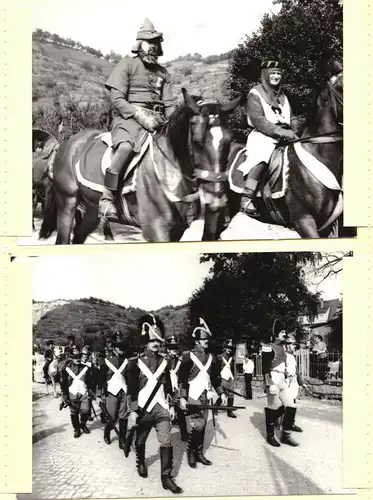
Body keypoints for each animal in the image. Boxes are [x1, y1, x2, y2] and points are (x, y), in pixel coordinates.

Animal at [38, 88, 241, 244]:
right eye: (198, 142)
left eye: (230, 140)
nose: (217, 201)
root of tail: (66, 144)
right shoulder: (155, 229)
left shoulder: (176, 230)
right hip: (68, 201)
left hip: (91, 210)